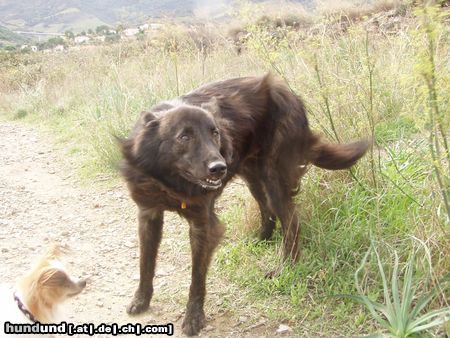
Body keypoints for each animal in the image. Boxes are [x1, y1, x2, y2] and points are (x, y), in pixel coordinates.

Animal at [120, 74, 370, 336]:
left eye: (215, 133)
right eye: (184, 137)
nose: (219, 167)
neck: (169, 180)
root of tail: (288, 93)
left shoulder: (203, 223)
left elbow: (197, 277)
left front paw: (194, 317)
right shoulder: (148, 213)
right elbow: (145, 262)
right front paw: (141, 299)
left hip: (274, 177)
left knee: (291, 221)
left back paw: (286, 267)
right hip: (253, 175)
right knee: (267, 209)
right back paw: (261, 240)